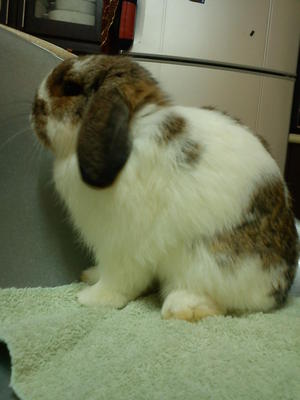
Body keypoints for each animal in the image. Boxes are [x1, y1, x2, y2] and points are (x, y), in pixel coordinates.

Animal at [31, 54, 298, 322]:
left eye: (70, 88)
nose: (35, 107)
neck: (134, 132)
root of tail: (279, 288)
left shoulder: (120, 245)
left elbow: (119, 280)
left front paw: (91, 298)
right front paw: (90, 275)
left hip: (207, 262)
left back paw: (181, 307)